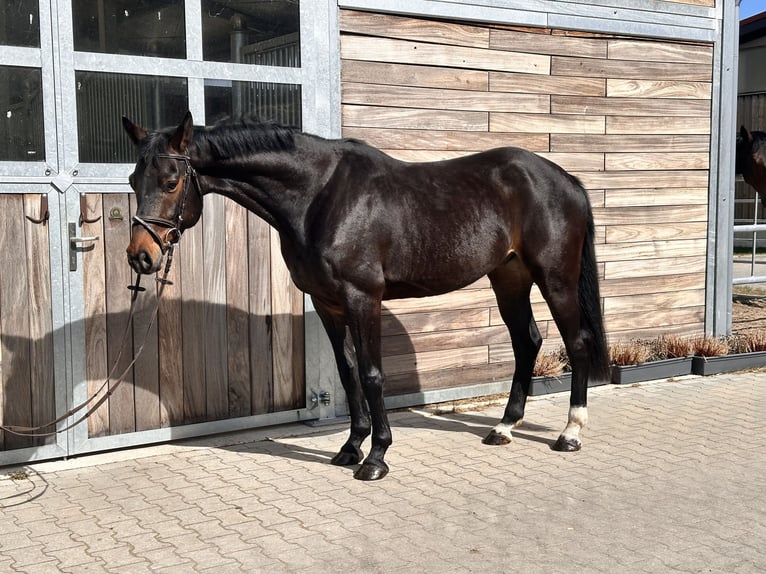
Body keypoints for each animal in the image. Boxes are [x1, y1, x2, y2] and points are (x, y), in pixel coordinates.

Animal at [122, 112, 609, 481]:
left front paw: (376, 457)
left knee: (576, 342)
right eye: (131, 178)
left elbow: (373, 374)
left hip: (555, 278)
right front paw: (350, 447)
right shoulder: (328, 303)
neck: (319, 196)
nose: (140, 256)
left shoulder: (363, 299)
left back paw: (570, 432)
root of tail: (565, 179)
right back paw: (505, 427)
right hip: (508, 277)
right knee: (527, 342)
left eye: (171, 182)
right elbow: (347, 371)